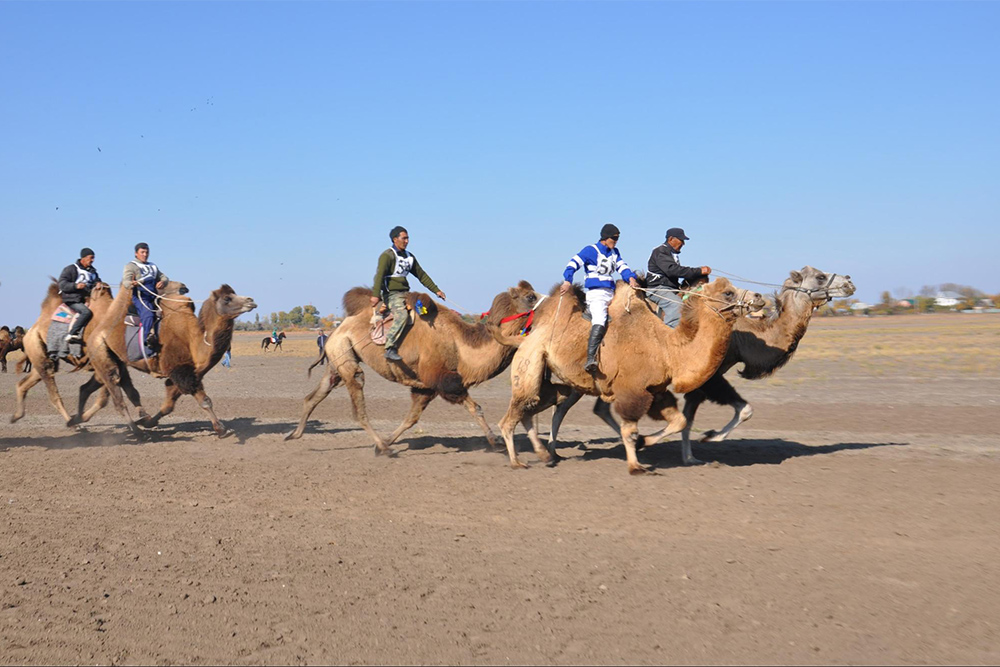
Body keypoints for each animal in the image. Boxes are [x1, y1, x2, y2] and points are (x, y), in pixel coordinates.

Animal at [80, 280, 258, 436]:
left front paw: (149, 422)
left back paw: (80, 419)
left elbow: (168, 405)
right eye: (227, 298)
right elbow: (204, 400)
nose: (251, 300)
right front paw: (221, 430)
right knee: (116, 394)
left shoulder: (184, 374)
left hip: (118, 359)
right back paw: (137, 433)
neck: (194, 342)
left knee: (118, 386)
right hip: (99, 350)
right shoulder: (180, 369)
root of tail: (98, 328)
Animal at [286, 282, 544, 454]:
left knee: (315, 395)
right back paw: (382, 447)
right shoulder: (444, 379)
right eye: (530, 296)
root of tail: (337, 330)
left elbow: (412, 418)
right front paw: (497, 443)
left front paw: (388, 440)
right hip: (346, 357)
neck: (460, 345)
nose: (551, 300)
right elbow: (476, 408)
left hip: (337, 359)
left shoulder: (426, 387)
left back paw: (294, 434)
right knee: (357, 402)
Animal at [496, 278, 760, 474]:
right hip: (529, 363)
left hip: (554, 381)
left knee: (533, 407)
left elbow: (679, 421)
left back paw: (545, 454)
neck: (667, 349)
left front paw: (646, 442)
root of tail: (525, 336)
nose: (758, 297)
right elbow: (629, 430)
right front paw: (635, 465)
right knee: (512, 416)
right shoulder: (633, 391)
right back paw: (518, 462)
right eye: (728, 292)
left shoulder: (656, 390)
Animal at [548, 266, 860, 464]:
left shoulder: (705, 374)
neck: (745, 336)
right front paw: (703, 443)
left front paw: (693, 449)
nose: (849, 282)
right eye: (820, 276)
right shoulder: (711, 375)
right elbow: (733, 410)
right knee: (565, 407)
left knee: (595, 407)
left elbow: (701, 414)